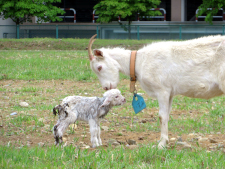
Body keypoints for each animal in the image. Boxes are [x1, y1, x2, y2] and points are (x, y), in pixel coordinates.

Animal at [88, 34, 225, 148]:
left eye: (99, 67)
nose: (106, 87)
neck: (139, 61)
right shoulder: (170, 93)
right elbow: (167, 115)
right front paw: (164, 141)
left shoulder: (162, 90)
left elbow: (161, 116)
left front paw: (161, 144)